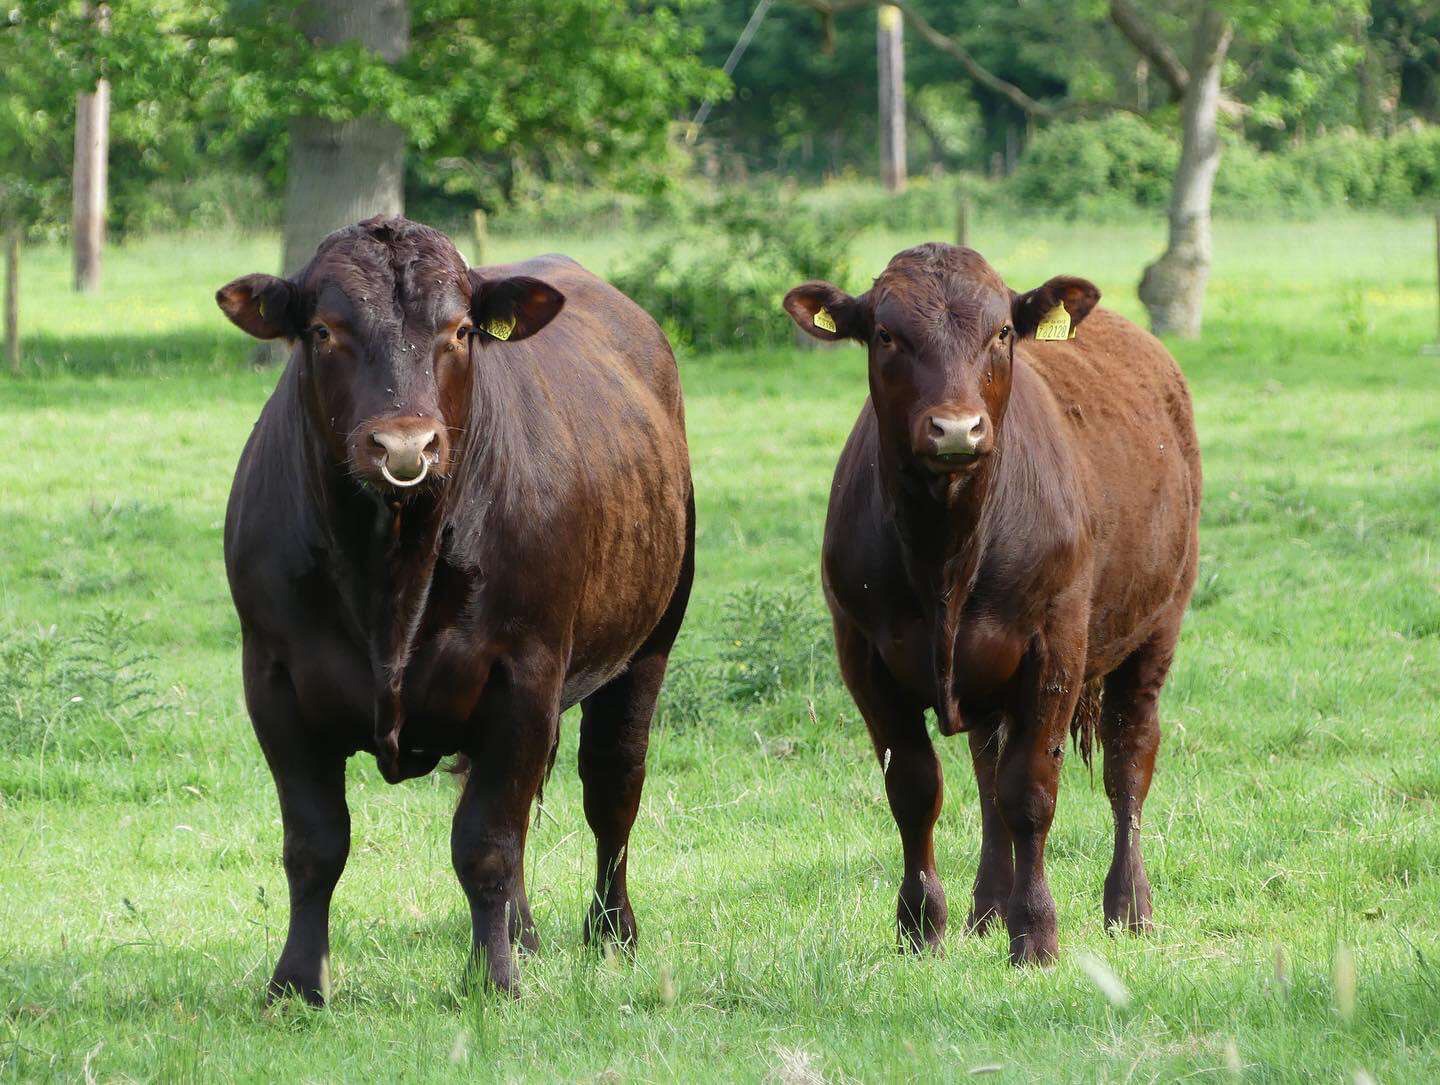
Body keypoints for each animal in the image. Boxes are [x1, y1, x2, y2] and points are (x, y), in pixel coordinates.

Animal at [216, 216, 694, 1001]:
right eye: (323, 329)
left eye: (461, 330)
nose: (405, 444)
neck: (390, 567)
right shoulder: (274, 679)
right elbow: (315, 843)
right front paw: (297, 983)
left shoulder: (523, 674)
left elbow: (487, 843)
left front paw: (494, 979)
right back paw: (525, 934)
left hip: (650, 642)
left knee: (612, 786)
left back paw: (611, 931)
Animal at [783, 243, 1201, 965]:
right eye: (886, 334)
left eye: (1002, 331)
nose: (956, 429)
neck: (945, 551)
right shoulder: (863, 655)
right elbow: (916, 789)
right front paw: (922, 924)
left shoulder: (1054, 648)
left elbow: (1030, 792)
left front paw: (1035, 932)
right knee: (986, 774)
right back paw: (988, 907)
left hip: (1157, 628)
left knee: (1128, 760)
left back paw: (1129, 905)